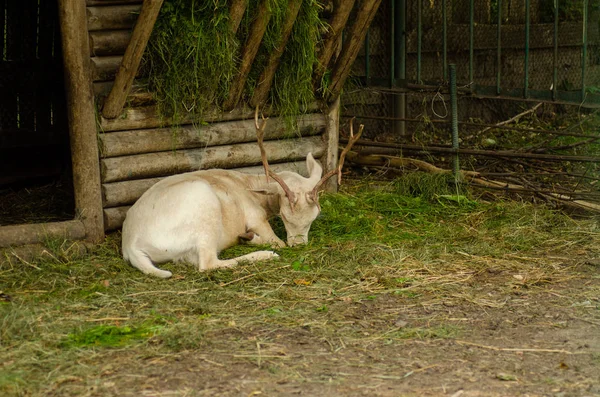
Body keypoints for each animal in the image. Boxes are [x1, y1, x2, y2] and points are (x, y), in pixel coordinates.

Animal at [122, 110, 360, 278]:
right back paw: (263, 253)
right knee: (208, 263)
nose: (299, 245)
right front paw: (256, 239)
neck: (253, 189)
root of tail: (132, 247)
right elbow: (277, 241)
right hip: (203, 204)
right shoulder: (255, 216)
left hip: (183, 251)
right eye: (284, 216)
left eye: (315, 216)